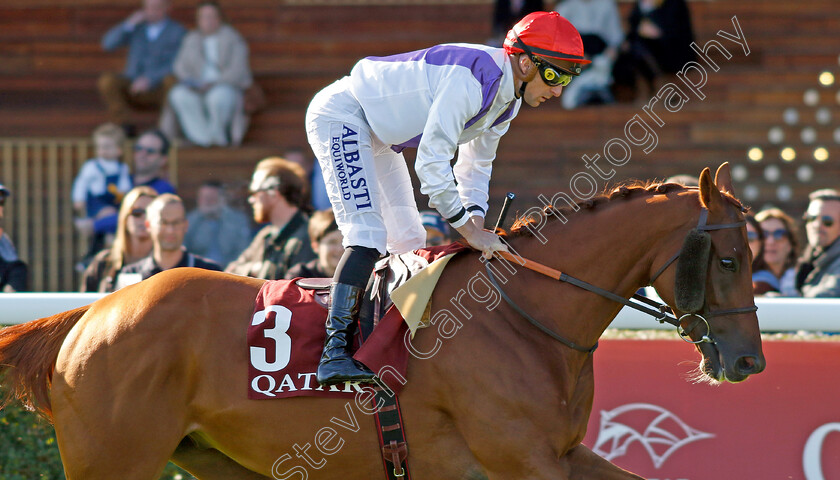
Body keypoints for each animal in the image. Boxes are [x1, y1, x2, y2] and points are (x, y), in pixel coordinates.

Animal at [0, 163, 760, 478]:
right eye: (727, 258)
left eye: (754, 255)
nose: (749, 361)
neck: (526, 317)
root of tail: (90, 313)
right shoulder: (519, 459)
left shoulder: (561, 453)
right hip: (115, 459)